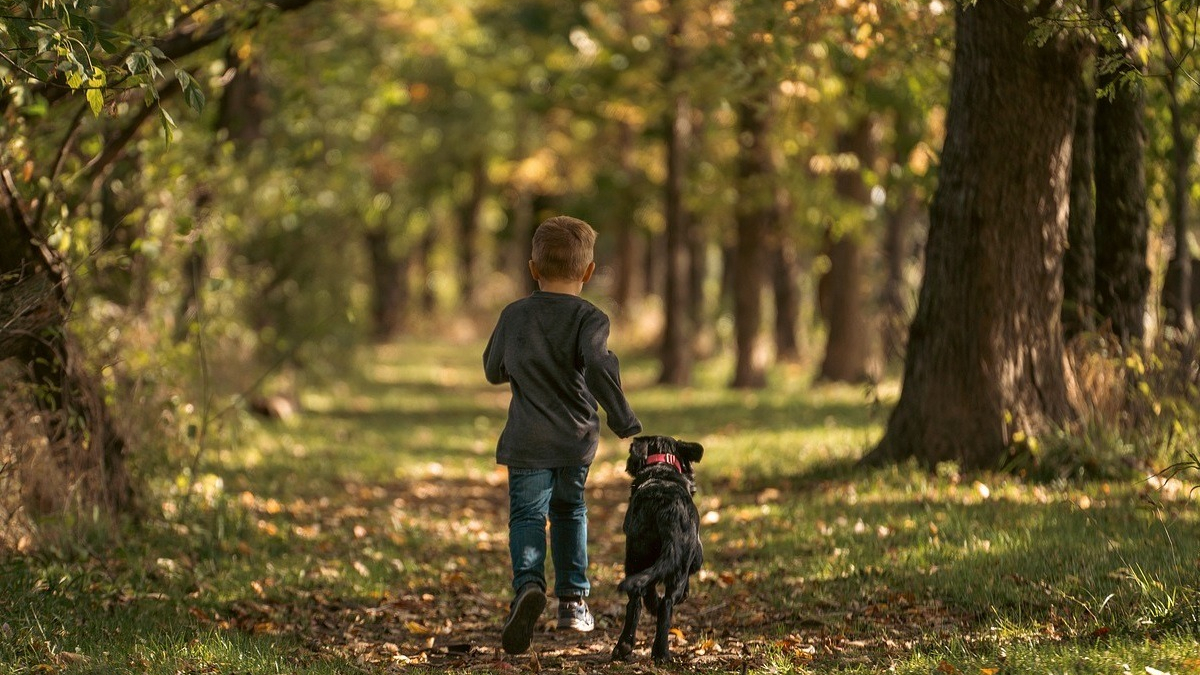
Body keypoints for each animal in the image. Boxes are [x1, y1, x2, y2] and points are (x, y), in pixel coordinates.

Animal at [609, 432, 700, 658]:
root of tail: (664, 511)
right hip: (678, 564)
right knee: (667, 604)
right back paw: (661, 652)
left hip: (635, 557)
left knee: (636, 600)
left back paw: (624, 646)